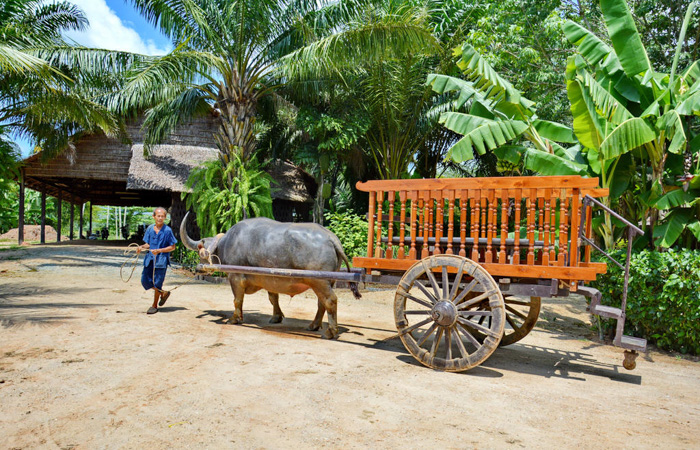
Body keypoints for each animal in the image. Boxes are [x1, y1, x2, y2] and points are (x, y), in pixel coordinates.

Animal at [180, 214, 360, 338]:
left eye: (200, 254)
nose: (197, 270)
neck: (227, 243)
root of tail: (331, 237)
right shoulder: (269, 279)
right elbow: (273, 298)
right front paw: (276, 317)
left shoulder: (235, 277)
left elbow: (237, 299)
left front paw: (235, 318)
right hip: (328, 281)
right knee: (321, 303)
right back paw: (313, 325)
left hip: (319, 281)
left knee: (330, 300)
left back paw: (330, 331)